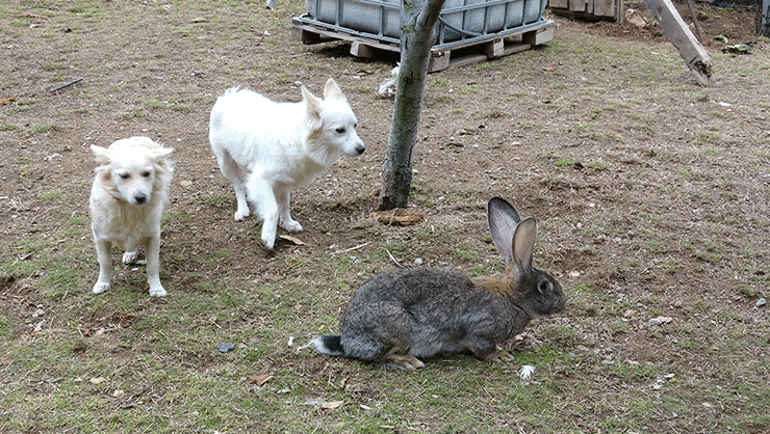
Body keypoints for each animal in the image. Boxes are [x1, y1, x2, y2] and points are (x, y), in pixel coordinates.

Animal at [88, 137, 174, 296]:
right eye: (124, 176)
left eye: (146, 174)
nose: (141, 197)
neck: (128, 208)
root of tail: (134, 138)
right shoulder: (100, 236)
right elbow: (105, 263)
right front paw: (102, 283)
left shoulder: (153, 235)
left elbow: (153, 264)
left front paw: (156, 288)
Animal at [208, 76, 364, 249]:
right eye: (340, 130)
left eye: (355, 126)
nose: (362, 149)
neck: (298, 138)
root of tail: (229, 96)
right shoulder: (261, 179)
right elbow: (272, 209)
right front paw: (268, 236)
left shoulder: (283, 182)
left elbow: (284, 204)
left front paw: (288, 223)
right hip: (225, 164)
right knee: (238, 186)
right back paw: (242, 209)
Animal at [308, 197, 564, 370]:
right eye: (544, 286)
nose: (563, 304)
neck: (511, 298)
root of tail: (347, 340)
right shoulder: (480, 330)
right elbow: (481, 348)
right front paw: (500, 356)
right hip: (397, 328)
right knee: (378, 357)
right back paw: (408, 361)